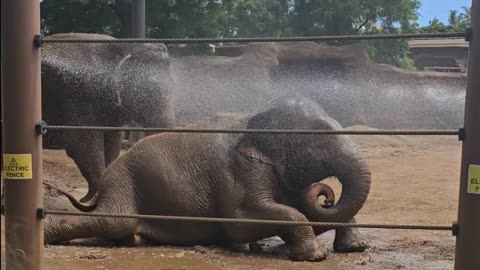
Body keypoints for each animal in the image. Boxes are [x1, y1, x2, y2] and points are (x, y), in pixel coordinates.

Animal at [42, 32, 176, 201]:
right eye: (146, 93)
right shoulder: (78, 94)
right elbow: (82, 145)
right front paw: (91, 199)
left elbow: (112, 145)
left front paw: (90, 197)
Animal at [45, 97, 374, 262]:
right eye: (320, 145)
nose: (326, 194)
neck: (256, 117)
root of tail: (107, 179)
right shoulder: (242, 169)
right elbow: (241, 221)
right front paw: (314, 255)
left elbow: (302, 209)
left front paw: (355, 248)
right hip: (124, 186)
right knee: (113, 221)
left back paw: (135, 240)